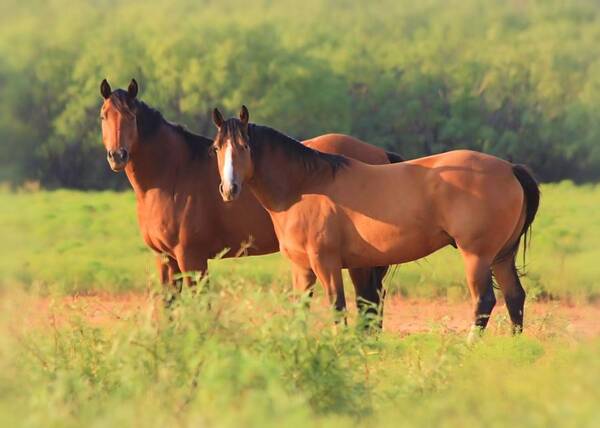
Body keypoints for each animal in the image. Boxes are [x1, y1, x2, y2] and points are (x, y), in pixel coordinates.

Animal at [97, 78, 398, 316]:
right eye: (103, 116)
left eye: (131, 116)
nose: (117, 156)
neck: (173, 174)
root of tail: (380, 155)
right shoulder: (165, 258)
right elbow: (169, 307)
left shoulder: (191, 257)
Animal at [211, 106, 540, 334]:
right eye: (217, 147)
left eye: (244, 146)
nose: (228, 189)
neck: (306, 186)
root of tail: (510, 168)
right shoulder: (302, 267)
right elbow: (301, 309)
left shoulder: (326, 263)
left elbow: (337, 308)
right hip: (502, 257)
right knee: (515, 298)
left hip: (477, 256)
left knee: (484, 302)